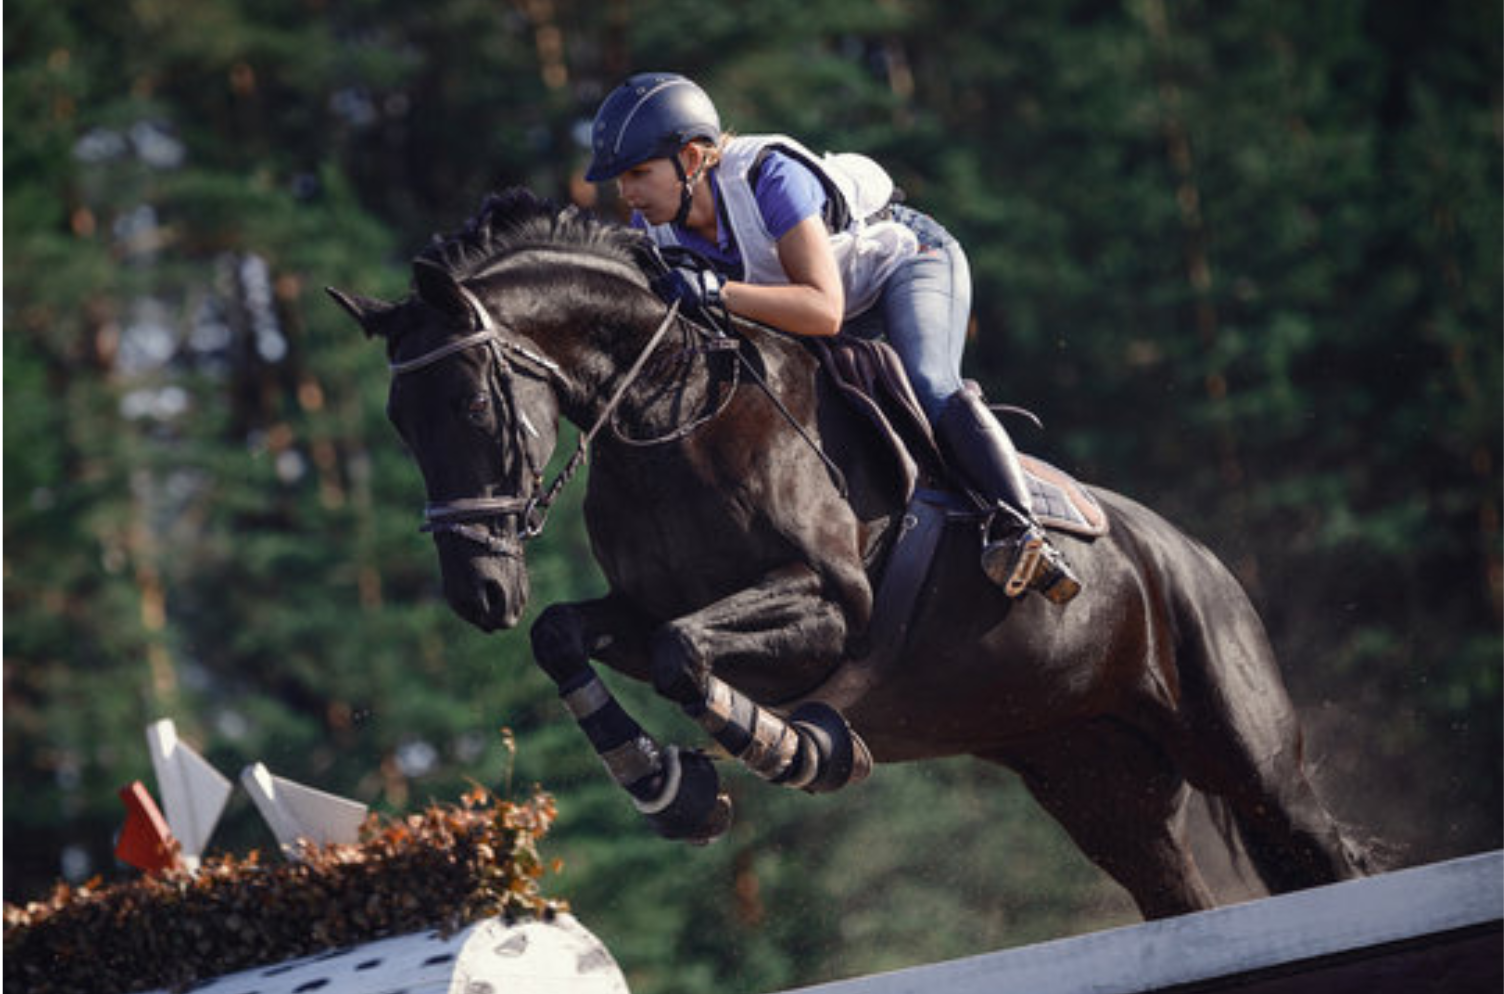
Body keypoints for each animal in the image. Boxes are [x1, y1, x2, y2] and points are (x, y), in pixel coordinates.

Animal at [327, 187, 1371, 919]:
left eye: (471, 407)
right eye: (398, 422)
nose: (476, 591)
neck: (672, 409)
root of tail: (1196, 557)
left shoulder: (831, 604)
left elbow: (684, 652)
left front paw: (790, 746)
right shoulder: (635, 606)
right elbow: (566, 636)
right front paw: (667, 791)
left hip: (1242, 752)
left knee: (1312, 845)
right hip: (1094, 777)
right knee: (1171, 890)